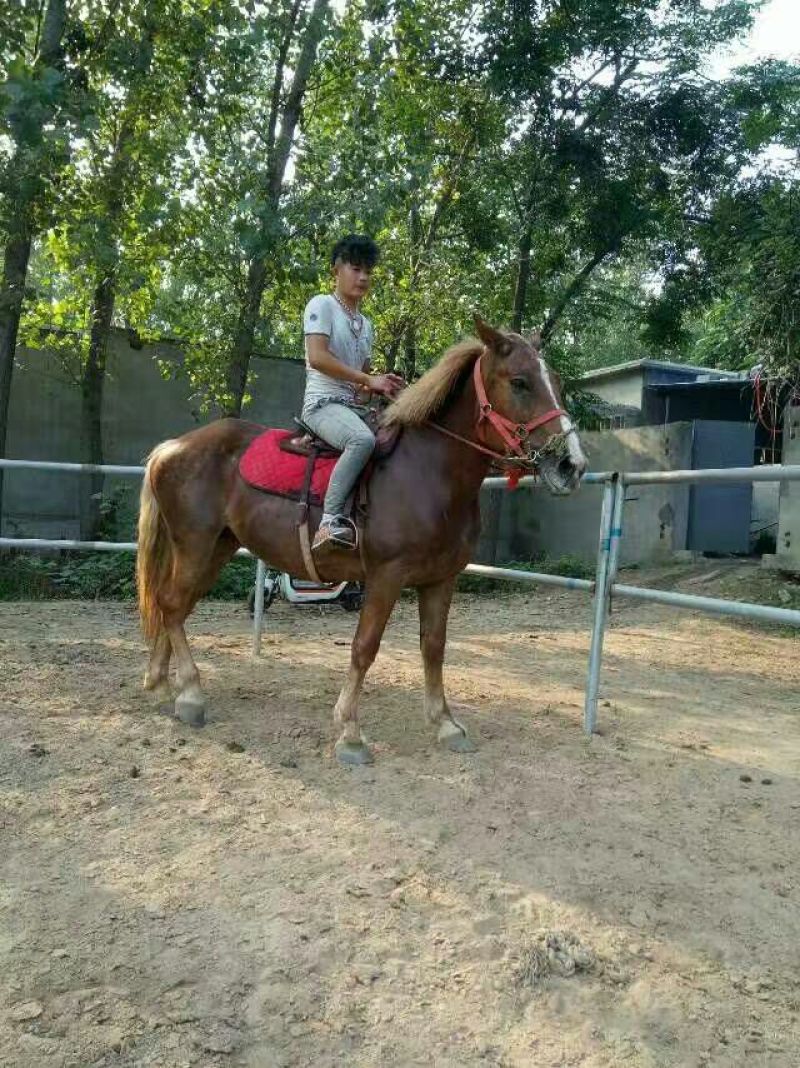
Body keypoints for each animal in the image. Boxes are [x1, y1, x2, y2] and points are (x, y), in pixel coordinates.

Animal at [136, 316, 588, 764]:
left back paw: (163, 684)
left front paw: (444, 723)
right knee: (172, 605)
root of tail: (172, 447)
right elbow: (364, 647)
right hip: (195, 545)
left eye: (557, 382)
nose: (571, 465)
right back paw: (191, 694)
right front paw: (350, 733)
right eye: (520, 382)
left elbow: (434, 647)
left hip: (217, 547)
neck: (427, 472)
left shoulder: (441, 579)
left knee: (173, 605)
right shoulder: (387, 577)